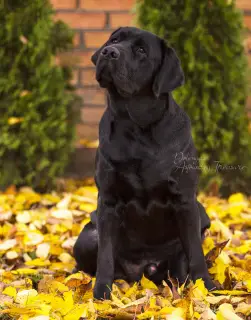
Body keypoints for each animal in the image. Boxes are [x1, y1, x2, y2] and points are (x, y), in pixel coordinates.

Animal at [73, 25, 215, 300]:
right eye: (114, 39)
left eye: (141, 50)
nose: (109, 52)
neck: (136, 124)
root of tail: (144, 270)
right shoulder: (108, 201)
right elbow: (105, 256)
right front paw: (101, 294)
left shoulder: (185, 199)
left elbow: (195, 252)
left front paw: (207, 286)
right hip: (87, 237)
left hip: (200, 216)